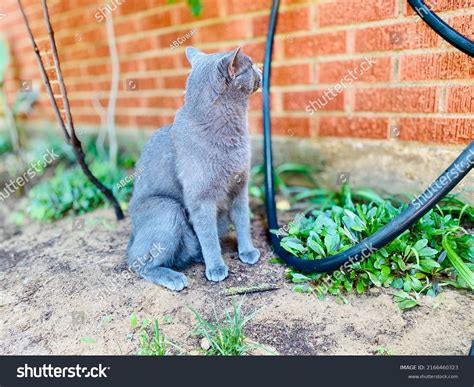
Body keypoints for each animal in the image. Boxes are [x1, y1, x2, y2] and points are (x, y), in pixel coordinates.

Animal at [126, 46, 262, 292]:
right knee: (139, 262)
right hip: (168, 209)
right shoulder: (200, 200)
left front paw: (247, 252)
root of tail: (133, 234)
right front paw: (216, 267)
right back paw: (174, 277)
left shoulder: (240, 188)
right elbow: (208, 236)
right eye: (251, 65)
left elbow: (243, 222)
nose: (261, 69)